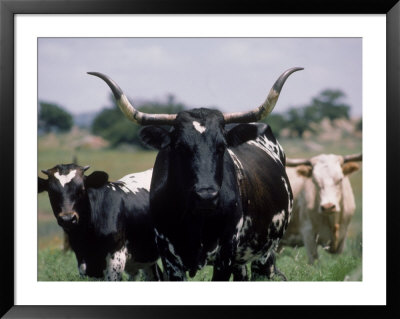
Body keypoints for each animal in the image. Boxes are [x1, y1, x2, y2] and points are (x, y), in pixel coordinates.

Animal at [90, 67, 304, 280]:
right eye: (180, 147)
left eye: (221, 147)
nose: (206, 196)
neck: (195, 219)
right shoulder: (169, 257)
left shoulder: (225, 254)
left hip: (265, 253)